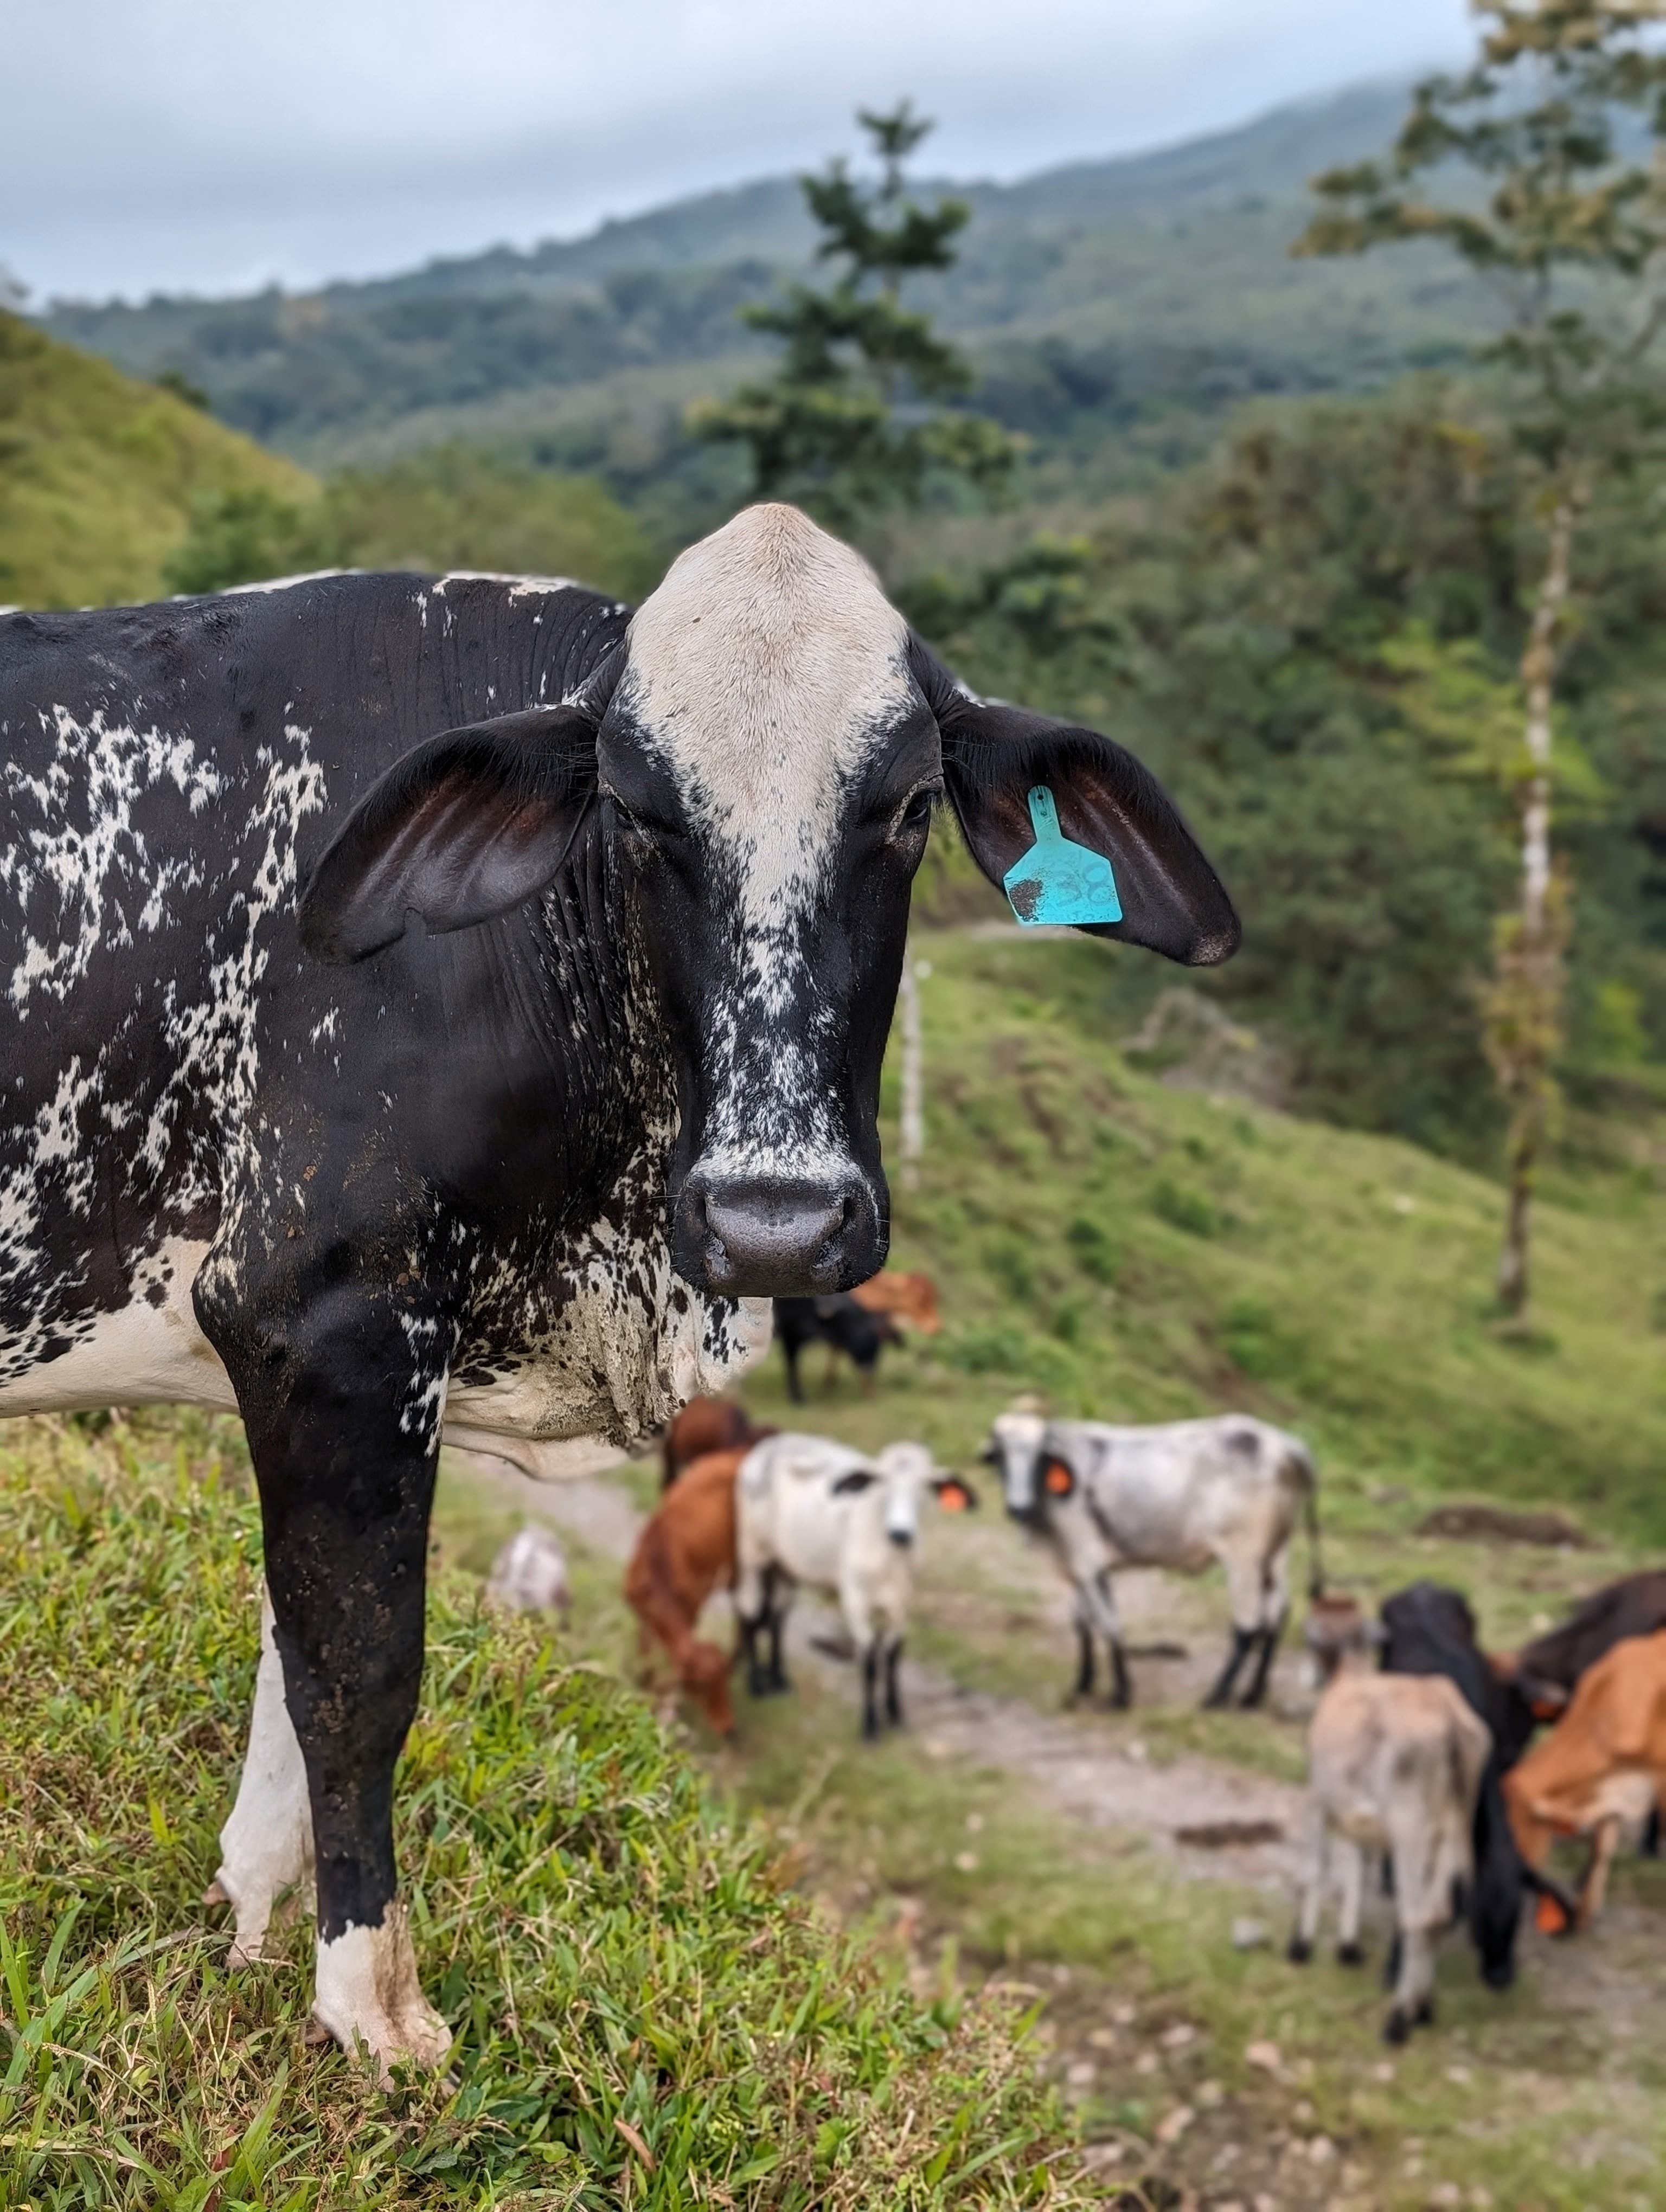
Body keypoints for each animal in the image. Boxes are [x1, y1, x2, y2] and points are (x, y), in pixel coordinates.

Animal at [624, 1446, 745, 1737]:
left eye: (725, 1682)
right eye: (701, 1686)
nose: (730, 1730)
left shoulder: (693, 1607)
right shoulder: (643, 1613)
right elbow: (647, 1652)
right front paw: (644, 1684)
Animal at [734, 1431, 975, 1737]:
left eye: (926, 1486)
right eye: (882, 1481)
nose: (901, 1533)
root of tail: (772, 1443)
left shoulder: (903, 1602)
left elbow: (893, 1655)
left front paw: (894, 1713)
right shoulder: (856, 1599)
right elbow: (870, 1660)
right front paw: (870, 1725)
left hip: (784, 1563)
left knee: (778, 1615)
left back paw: (779, 1679)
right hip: (752, 1552)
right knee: (749, 1612)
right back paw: (756, 1684)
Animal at [984, 1408, 1319, 1710]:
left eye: (1039, 1457)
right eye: (1000, 1456)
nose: (1018, 1507)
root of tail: (1284, 1445)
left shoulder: (1087, 1558)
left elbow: (1108, 1624)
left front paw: (1121, 1694)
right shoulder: (1075, 1564)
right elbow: (1083, 1624)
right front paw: (1084, 1683)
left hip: (1243, 1559)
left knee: (1247, 1627)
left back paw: (1217, 1696)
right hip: (1275, 1556)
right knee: (1276, 1617)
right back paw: (1253, 1695)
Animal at [1289, 1603, 1490, 2044]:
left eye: (1310, 1638)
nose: (1306, 1675)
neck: (1350, 1675)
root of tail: (1451, 1723)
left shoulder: (1318, 1801)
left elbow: (1315, 1870)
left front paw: (1300, 1946)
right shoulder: (1355, 1815)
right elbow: (1353, 1870)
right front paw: (1347, 1946)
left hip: (1410, 1832)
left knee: (1418, 1918)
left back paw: (1399, 2019)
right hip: (1450, 1831)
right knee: (1440, 1914)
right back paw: (1423, 2007)